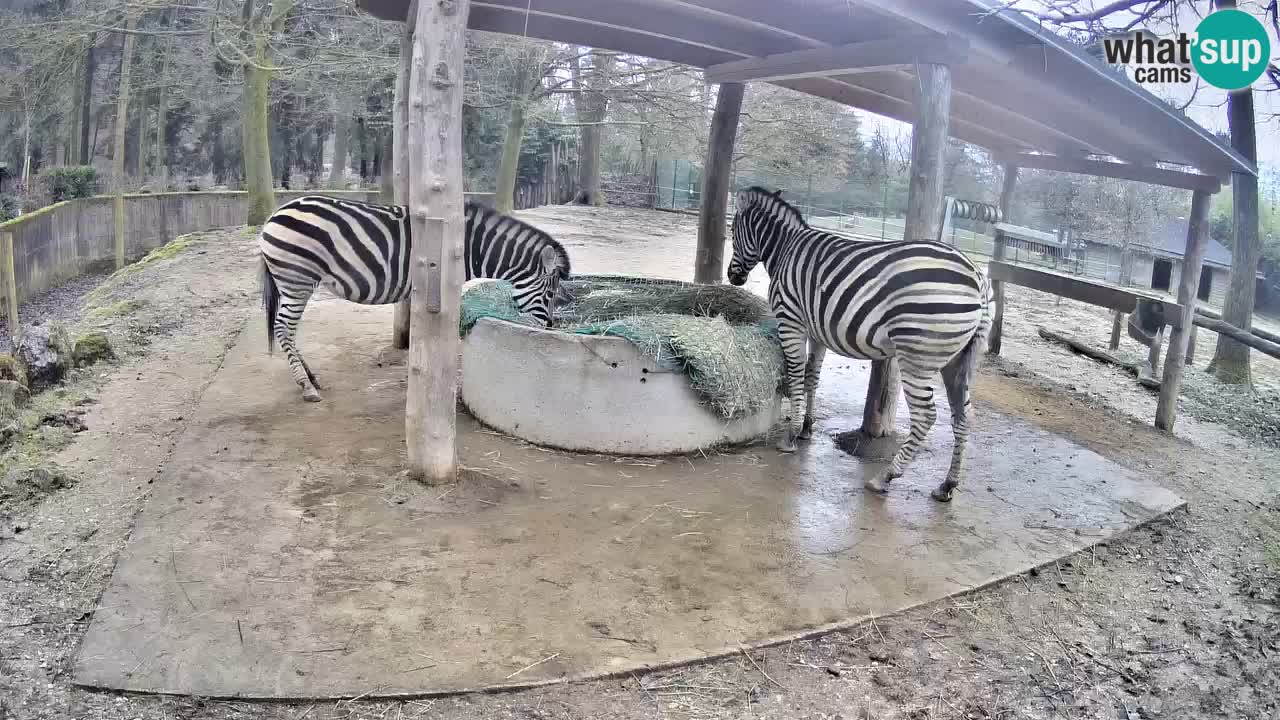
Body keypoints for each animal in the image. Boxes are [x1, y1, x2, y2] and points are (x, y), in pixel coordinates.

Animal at [259, 195, 572, 403]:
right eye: (550, 295)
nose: (549, 329)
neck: (472, 247)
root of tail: (275, 214)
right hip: (298, 279)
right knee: (283, 328)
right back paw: (306, 385)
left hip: (293, 282)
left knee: (286, 328)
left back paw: (310, 377)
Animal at [726, 187, 993, 502]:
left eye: (732, 230)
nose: (733, 277)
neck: (785, 249)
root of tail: (977, 275)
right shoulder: (816, 331)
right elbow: (811, 378)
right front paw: (806, 428)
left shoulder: (790, 320)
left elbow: (795, 375)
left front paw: (790, 436)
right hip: (958, 360)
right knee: (963, 415)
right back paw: (947, 485)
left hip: (917, 357)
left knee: (926, 416)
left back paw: (885, 477)